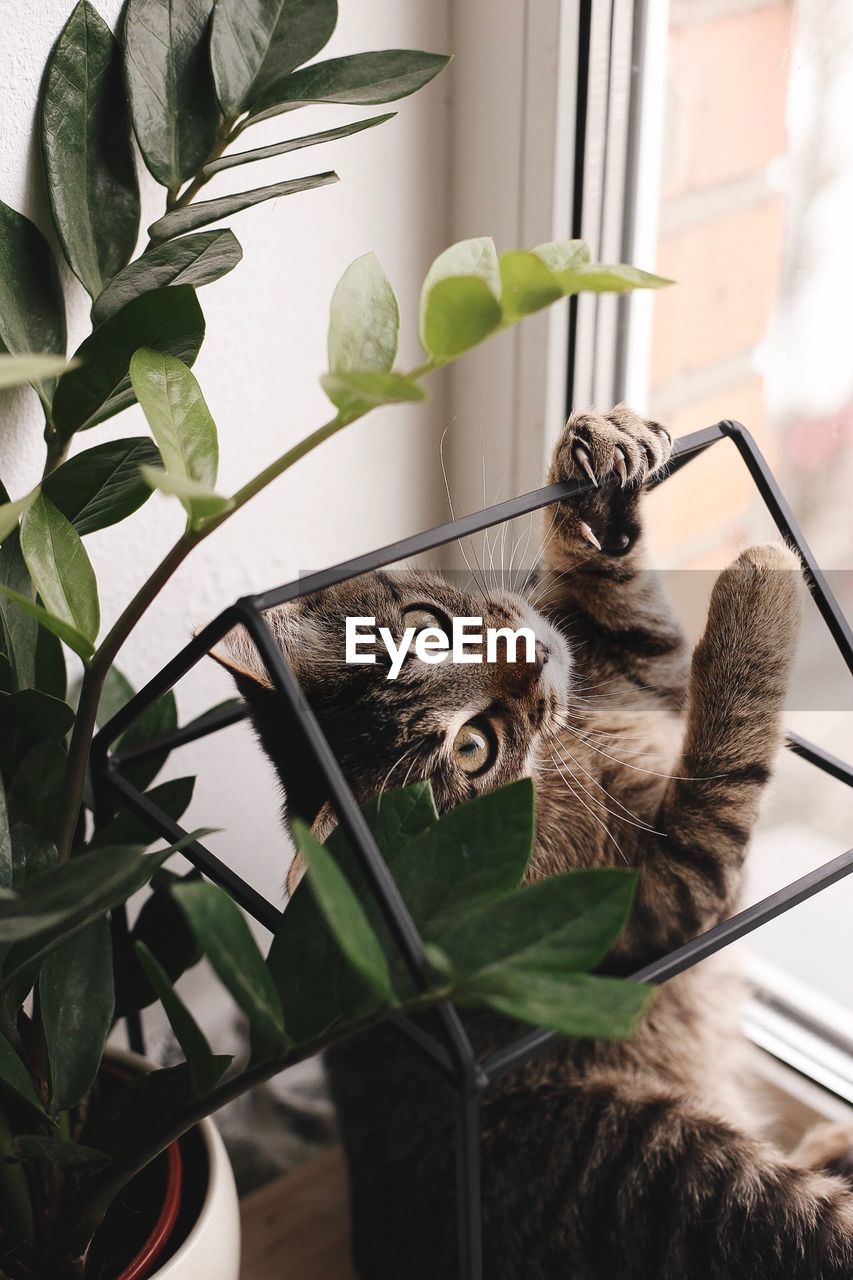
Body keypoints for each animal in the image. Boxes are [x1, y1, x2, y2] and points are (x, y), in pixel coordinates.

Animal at [213, 409, 850, 1280]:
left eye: (425, 628)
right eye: (472, 749)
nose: (532, 656)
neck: (570, 744)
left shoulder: (640, 673)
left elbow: (626, 604)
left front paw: (604, 456)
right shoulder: (662, 893)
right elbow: (725, 763)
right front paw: (760, 582)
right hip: (670, 1168)